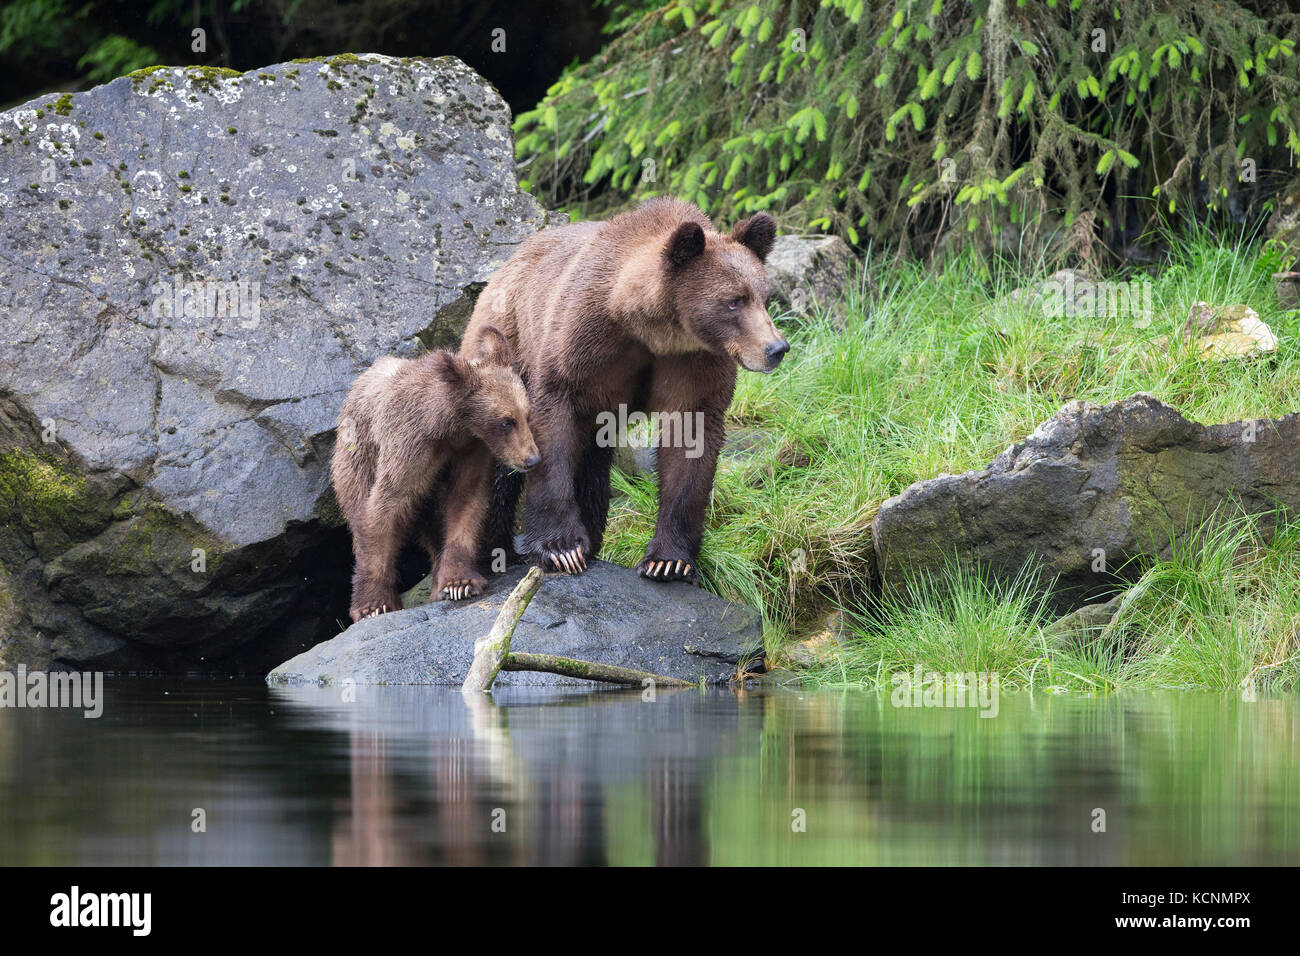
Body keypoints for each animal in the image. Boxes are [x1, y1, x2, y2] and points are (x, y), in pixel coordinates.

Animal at [335, 329, 543, 624]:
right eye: (506, 421)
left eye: (527, 414)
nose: (532, 459)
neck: (448, 428)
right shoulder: (410, 448)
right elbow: (383, 510)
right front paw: (374, 605)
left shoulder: (471, 451)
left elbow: (466, 502)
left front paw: (458, 584)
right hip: (356, 459)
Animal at [467, 197, 790, 580]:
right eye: (733, 301)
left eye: (764, 297)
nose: (776, 348)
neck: (649, 329)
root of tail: (505, 266)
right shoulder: (580, 344)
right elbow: (552, 425)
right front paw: (561, 548)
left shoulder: (694, 363)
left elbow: (690, 443)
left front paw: (669, 560)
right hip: (504, 343)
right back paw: (493, 553)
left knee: (593, 460)